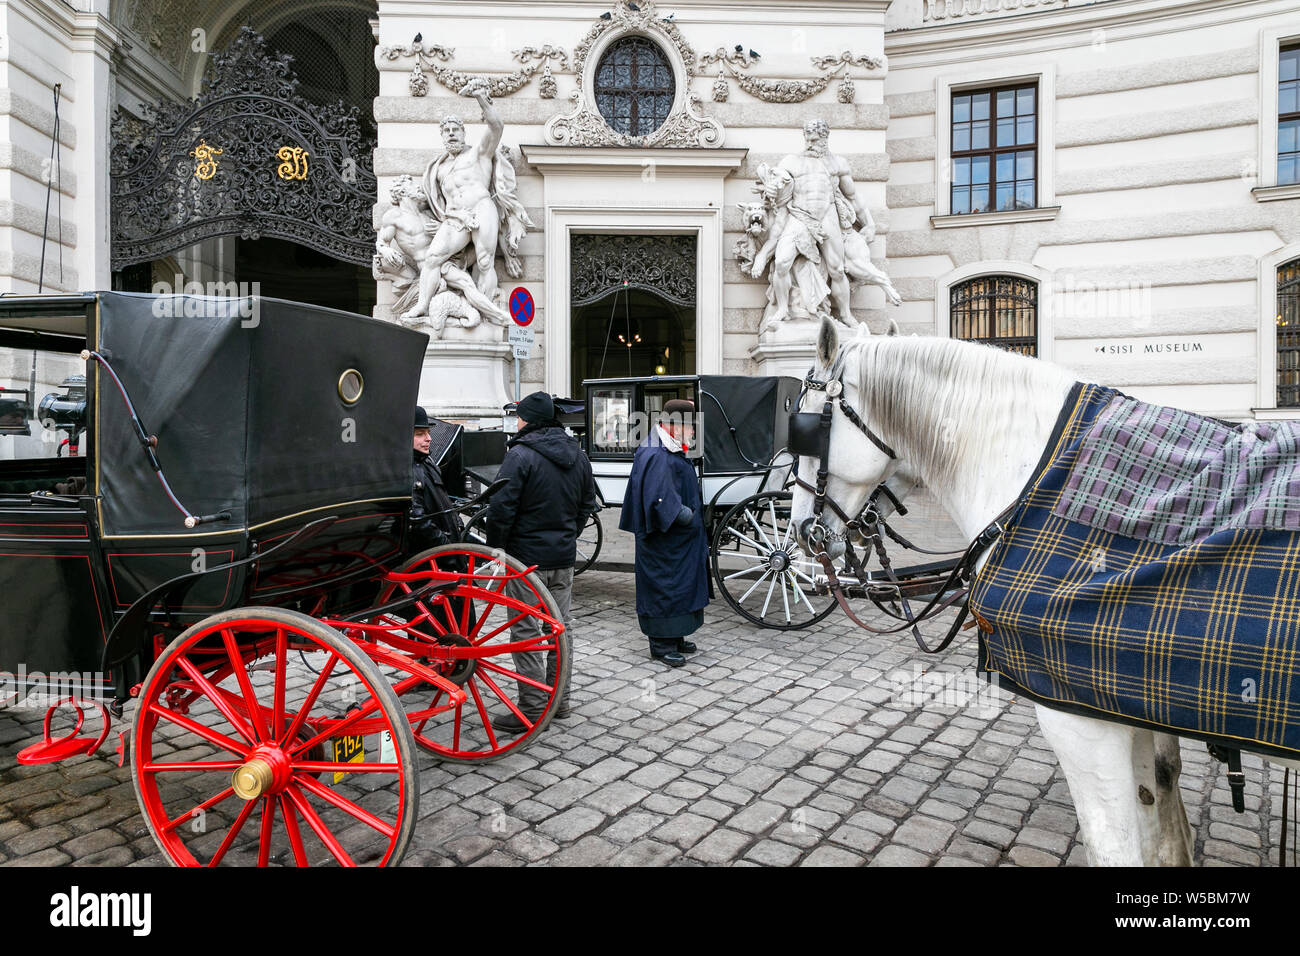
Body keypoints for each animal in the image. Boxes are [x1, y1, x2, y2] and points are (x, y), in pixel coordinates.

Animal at [785, 319, 1274, 868]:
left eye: (805, 426)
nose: (800, 529)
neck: (1036, 479)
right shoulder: (1133, 704)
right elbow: (1158, 800)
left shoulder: (1083, 718)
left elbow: (1116, 842)